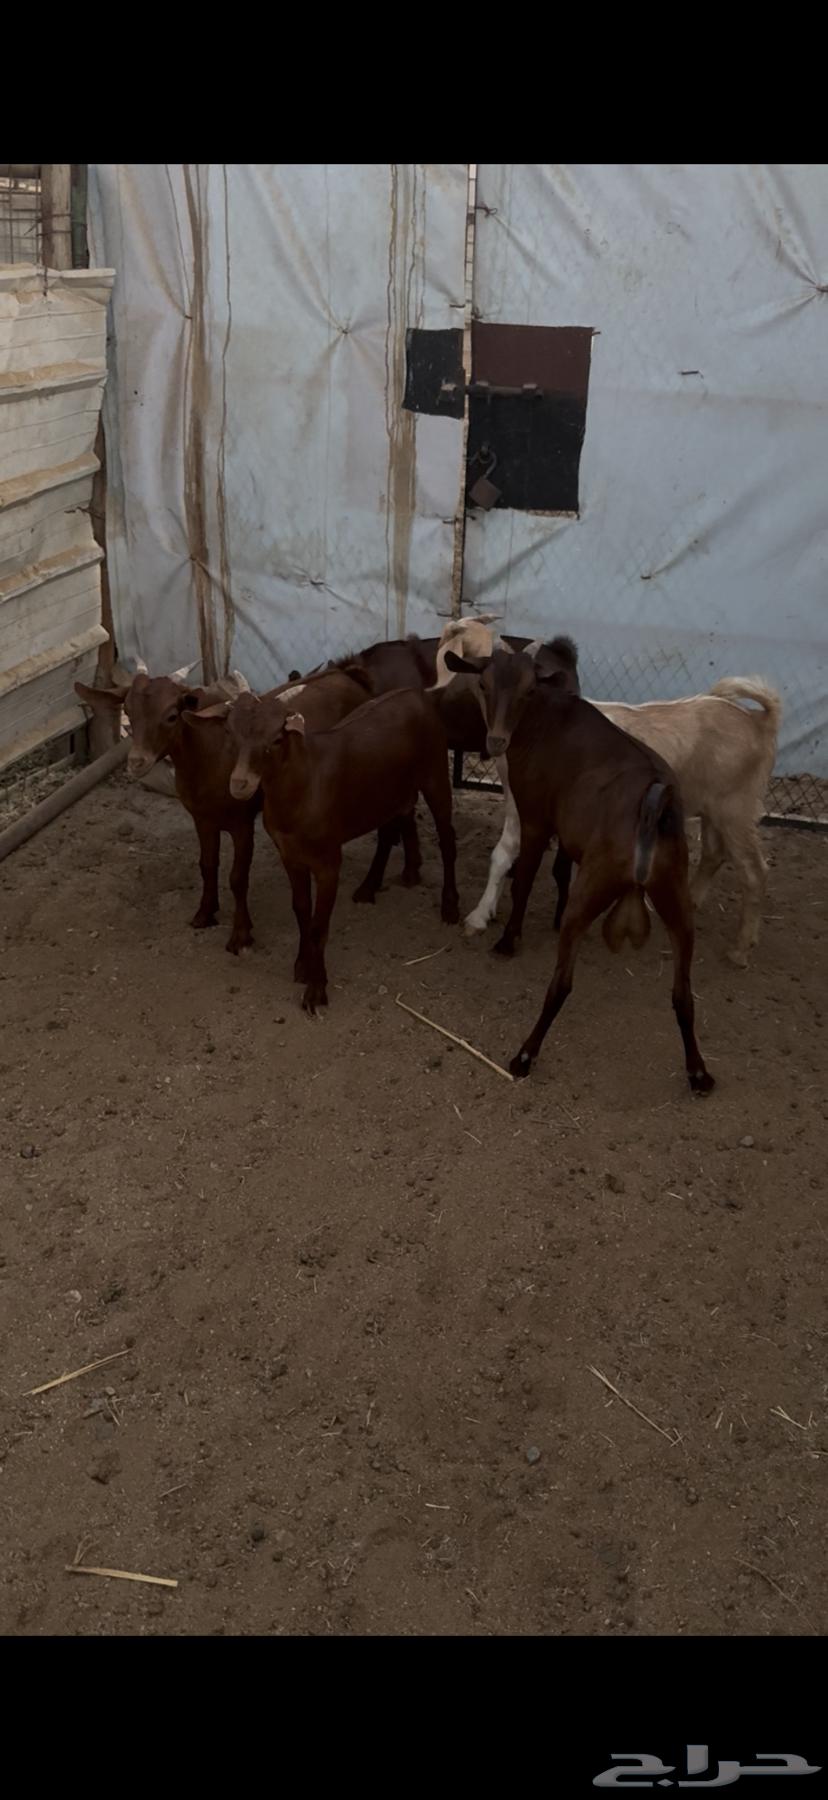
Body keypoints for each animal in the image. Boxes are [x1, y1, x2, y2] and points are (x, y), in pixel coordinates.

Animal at [195, 686, 460, 1013]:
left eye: (277, 739)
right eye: (229, 732)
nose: (240, 784)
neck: (305, 784)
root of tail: (416, 693)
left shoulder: (328, 861)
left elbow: (319, 926)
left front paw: (316, 990)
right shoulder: (290, 856)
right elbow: (301, 911)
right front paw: (302, 966)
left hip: (436, 772)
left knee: (447, 839)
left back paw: (450, 907)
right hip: (388, 794)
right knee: (388, 833)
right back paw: (368, 888)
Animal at [444, 646, 714, 1095]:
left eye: (528, 689)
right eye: (483, 683)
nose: (496, 741)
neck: (544, 720)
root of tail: (652, 807)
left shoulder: (537, 819)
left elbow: (524, 878)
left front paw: (508, 938)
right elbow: (558, 869)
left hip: (594, 888)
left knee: (562, 984)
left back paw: (524, 1056)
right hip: (675, 893)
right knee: (682, 993)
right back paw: (698, 1073)